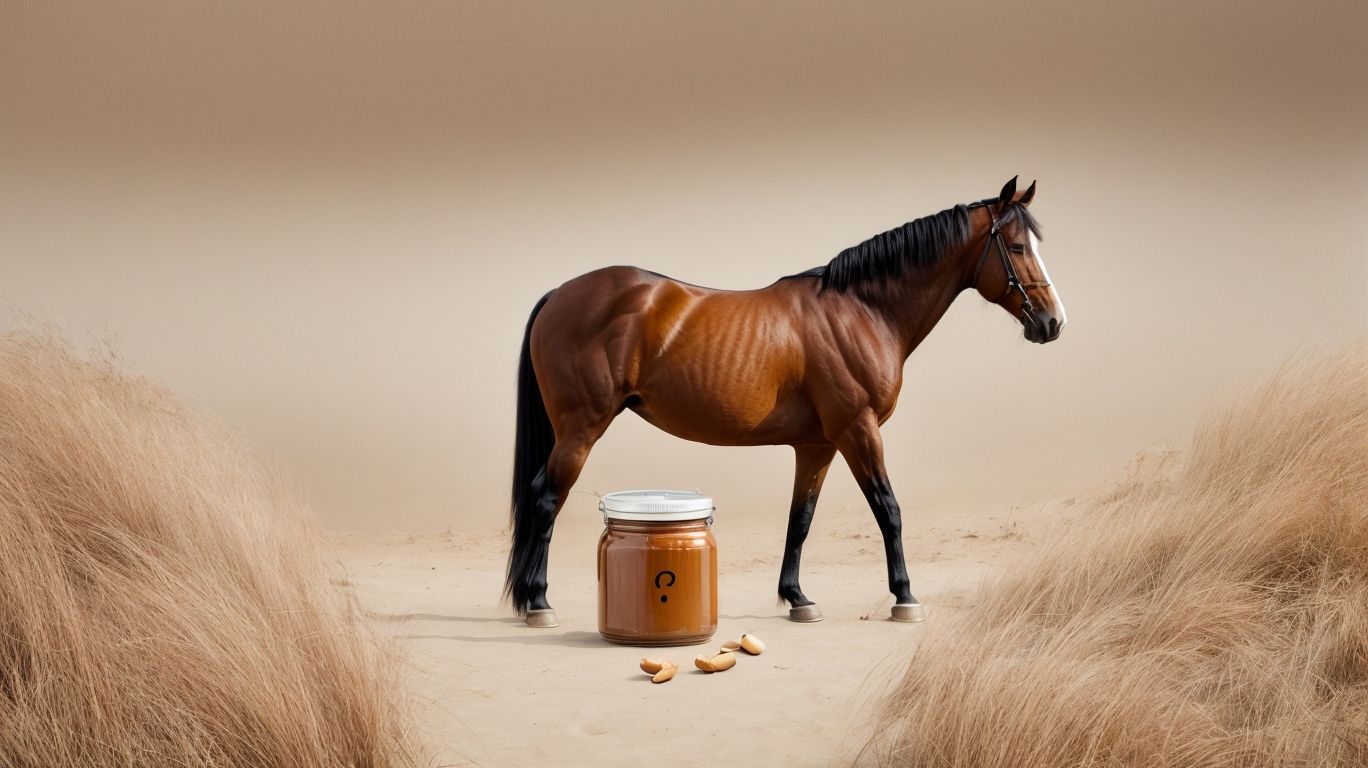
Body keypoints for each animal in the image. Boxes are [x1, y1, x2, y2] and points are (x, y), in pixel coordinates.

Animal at [505, 176, 1065, 627]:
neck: (863, 310)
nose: (1053, 322)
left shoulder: (818, 445)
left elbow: (801, 519)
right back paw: (539, 604)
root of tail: (559, 295)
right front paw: (905, 597)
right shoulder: (858, 429)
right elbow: (888, 509)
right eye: (1017, 246)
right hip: (581, 427)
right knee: (546, 498)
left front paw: (797, 598)